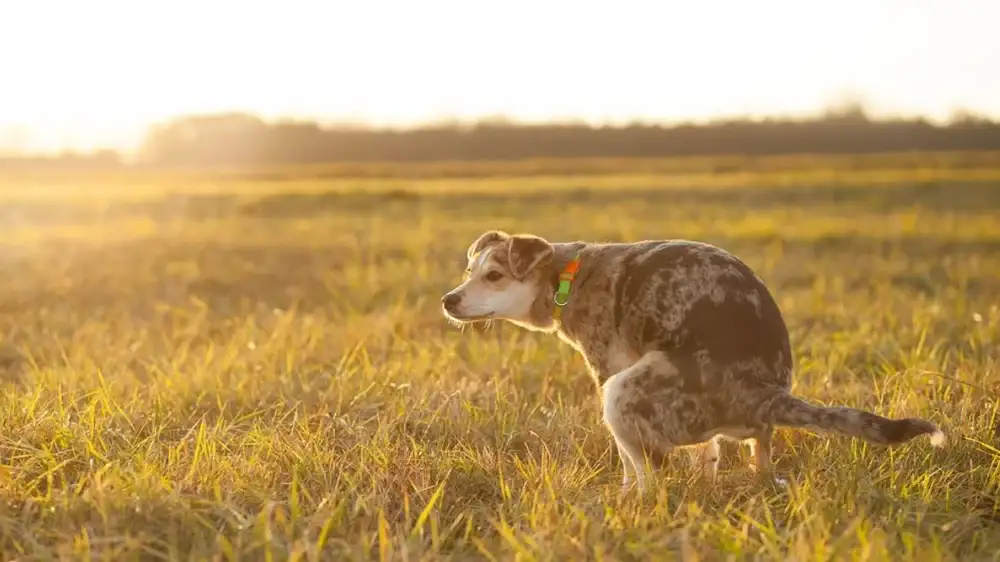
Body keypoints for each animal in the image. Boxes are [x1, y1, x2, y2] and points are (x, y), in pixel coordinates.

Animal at [444, 228, 944, 490]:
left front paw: (623, 498)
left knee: (651, 472)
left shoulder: (608, 368)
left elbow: (630, 466)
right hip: (744, 429)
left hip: (623, 392)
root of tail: (764, 392)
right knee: (758, 455)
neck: (566, 276)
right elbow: (708, 455)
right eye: (468, 271)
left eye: (494, 275)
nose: (449, 300)